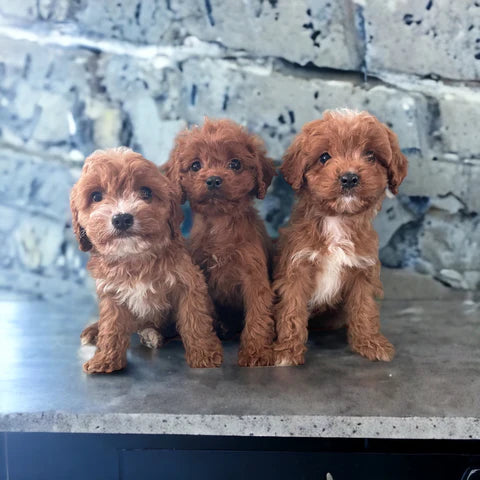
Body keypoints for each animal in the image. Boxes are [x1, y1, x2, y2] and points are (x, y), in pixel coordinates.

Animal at [70, 148, 223, 374]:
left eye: (146, 192)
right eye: (96, 196)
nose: (122, 218)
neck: (135, 257)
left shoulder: (188, 282)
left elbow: (195, 320)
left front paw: (205, 354)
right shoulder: (111, 291)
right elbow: (111, 327)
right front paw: (106, 360)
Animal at [164, 118, 278, 366]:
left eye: (235, 164)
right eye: (195, 165)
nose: (214, 179)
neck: (220, 224)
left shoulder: (254, 277)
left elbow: (258, 315)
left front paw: (255, 352)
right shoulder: (202, 275)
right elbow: (203, 312)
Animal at [274, 109, 408, 364]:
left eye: (370, 155)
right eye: (324, 157)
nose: (349, 178)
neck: (337, 220)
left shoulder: (362, 270)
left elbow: (365, 308)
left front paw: (370, 343)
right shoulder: (296, 267)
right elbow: (292, 311)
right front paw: (287, 350)